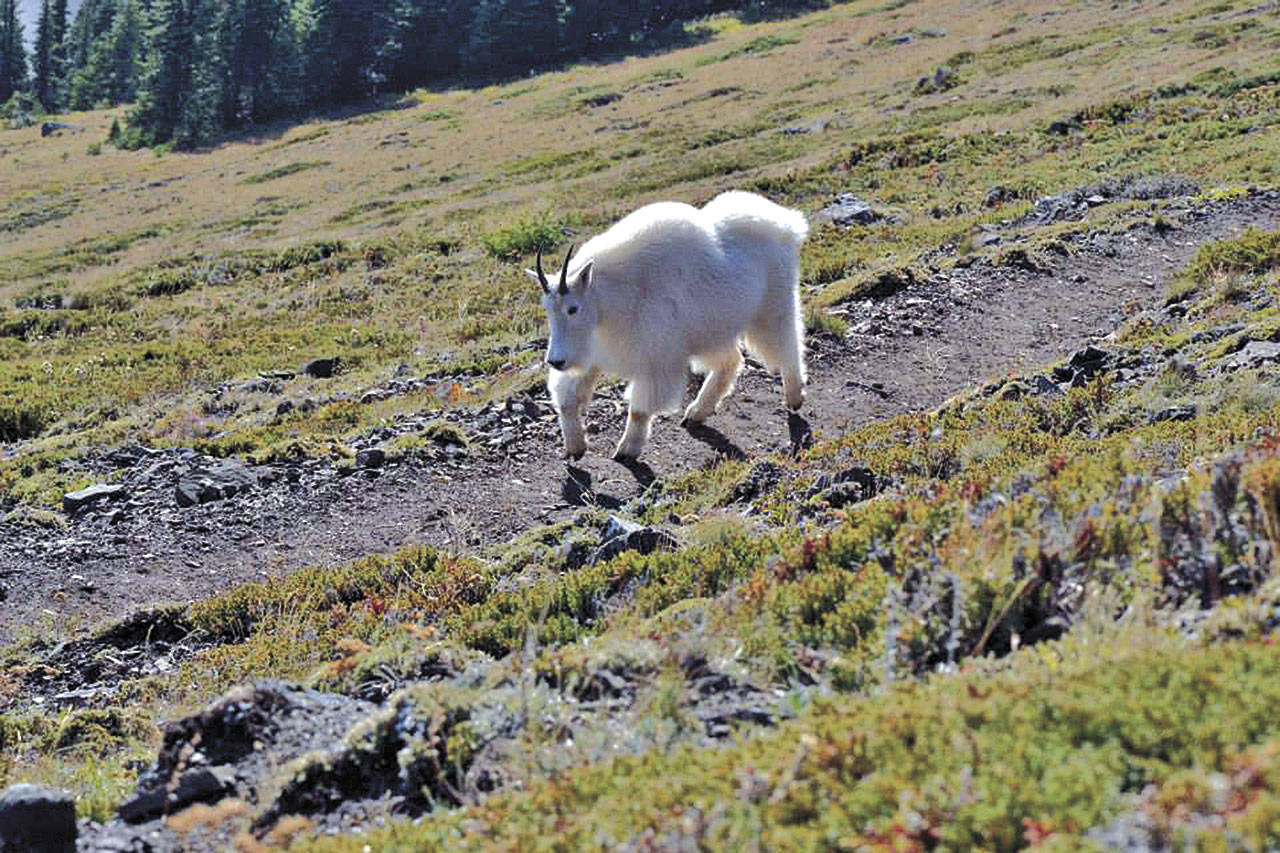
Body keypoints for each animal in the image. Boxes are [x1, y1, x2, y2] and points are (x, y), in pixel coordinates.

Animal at [529, 191, 808, 461]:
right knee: (731, 360)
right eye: (548, 309)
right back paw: (696, 412)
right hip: (712, 331)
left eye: (573, 308)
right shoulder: (593, 354)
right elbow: (568, 400)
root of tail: (787, 223)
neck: (611, 300)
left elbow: (639, 409)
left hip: (773, 306)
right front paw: (575, 447)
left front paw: (626, 450)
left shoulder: (655, 359)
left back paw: (794, 397)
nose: (556, 361)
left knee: (787, 345)